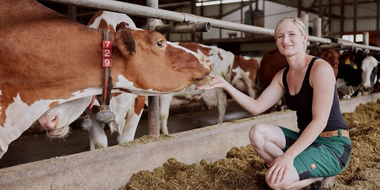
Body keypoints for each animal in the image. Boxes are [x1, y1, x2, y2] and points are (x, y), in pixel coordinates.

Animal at [0, 0, 211, 159]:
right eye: (160, 42)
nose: (45, 121)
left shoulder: (138, 101)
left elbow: (126, 140)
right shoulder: (93, 109)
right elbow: (101, 144)